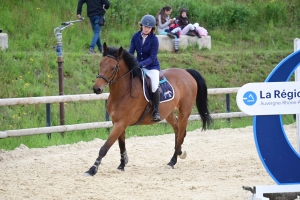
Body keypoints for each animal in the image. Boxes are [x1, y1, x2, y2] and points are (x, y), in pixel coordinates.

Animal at [84, 42, 211, 177]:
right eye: (100, 64)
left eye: (113, 68)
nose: (97, 88)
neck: (122, 93)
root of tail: (186, 72)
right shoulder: (117, 122)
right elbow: (121, 144)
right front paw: (122, 164)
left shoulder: (121, 123)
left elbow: (105, 147)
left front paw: (92, 169)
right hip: (168, 113)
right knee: (178, 130)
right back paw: (180, 152)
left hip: (184, 112)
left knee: (181, 133)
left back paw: (172, 161)